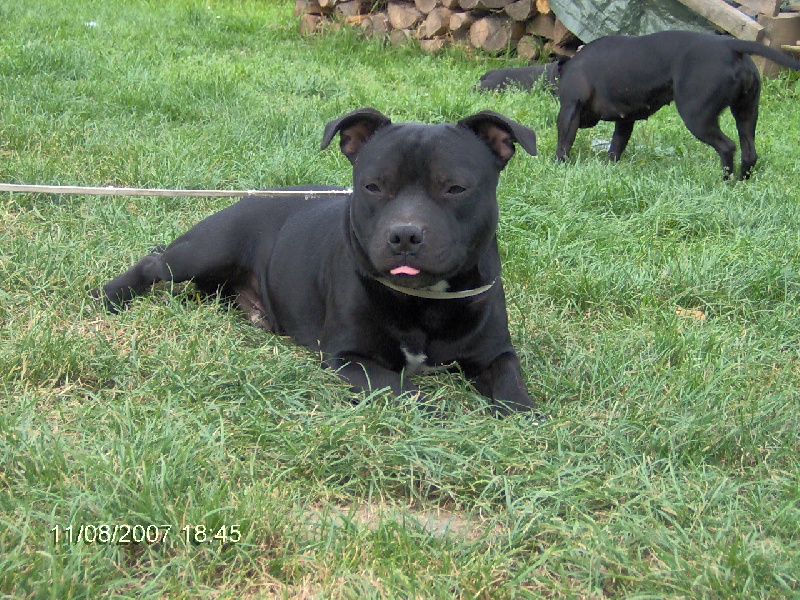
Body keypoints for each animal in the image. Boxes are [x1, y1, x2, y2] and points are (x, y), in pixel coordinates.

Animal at [94, 108, 544, 418]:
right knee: (154, 264)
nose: (404, 235)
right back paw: (109, 295)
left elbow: (512, 387)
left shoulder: (496, 353)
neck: (426, 301)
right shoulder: (349, 358)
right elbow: (404, 389)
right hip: (207, 249)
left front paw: (524, 417)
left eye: (455, 188)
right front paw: (443, 412)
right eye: (373, 186)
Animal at [552, 30, 800, 179]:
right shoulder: (625, 120)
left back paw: (723, 181)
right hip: (746, 113)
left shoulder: (569, 110)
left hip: (697, 116)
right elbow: (616, 145)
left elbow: (564, 142)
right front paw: (610, 165)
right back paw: (740, 181)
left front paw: (558, 164)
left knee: (727, 146)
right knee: (749, 152)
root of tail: (731, 46)